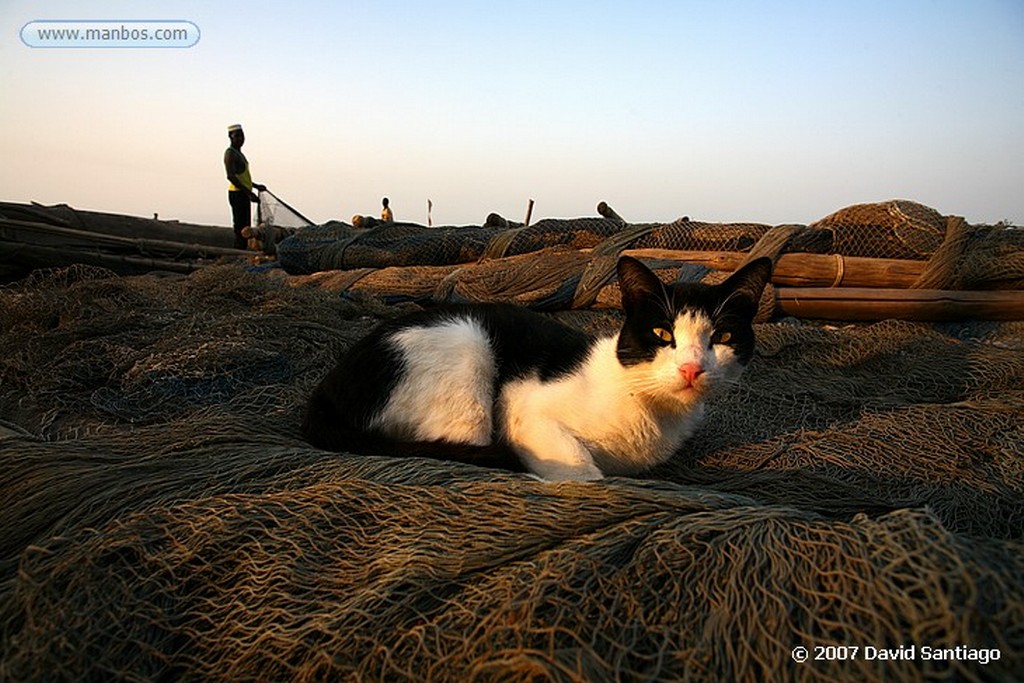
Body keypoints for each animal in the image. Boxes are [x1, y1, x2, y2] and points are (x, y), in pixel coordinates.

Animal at [299, 254, 770, 481]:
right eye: (662, 333)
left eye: (723, 337)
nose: (691, 368)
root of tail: (326, 388)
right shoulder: (522, 407)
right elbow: (584, 471)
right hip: (466, 344)